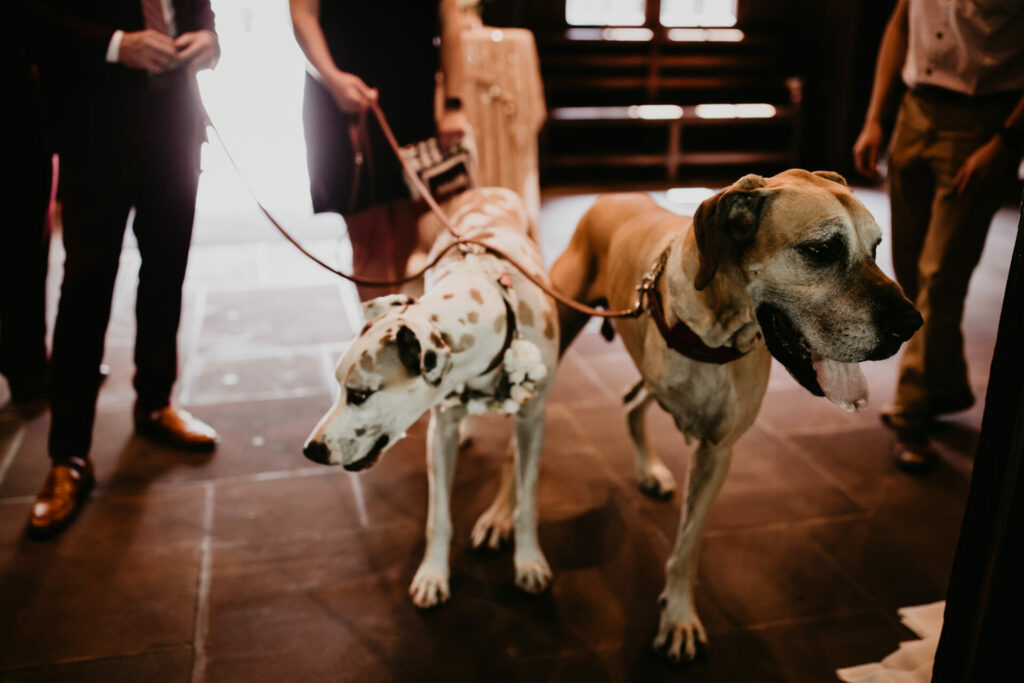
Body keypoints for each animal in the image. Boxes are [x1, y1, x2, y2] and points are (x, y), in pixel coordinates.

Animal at [303, 188, 561, 610]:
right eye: (339, 387)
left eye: (359, 394)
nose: (311, 450)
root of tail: (489, 190)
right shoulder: (440, 431)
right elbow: (437, 518)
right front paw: (433, 574)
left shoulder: (532, 421)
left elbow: (528, 501)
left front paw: (528, 561)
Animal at [552, 171, 921, 663]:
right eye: (821, 250)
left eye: (877, 247)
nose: (912, 323)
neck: (716, 328)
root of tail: (611, 196)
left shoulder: (717, 452)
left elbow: (689, 543)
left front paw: (678, 616)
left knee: (632, 401)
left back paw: (648, 469)